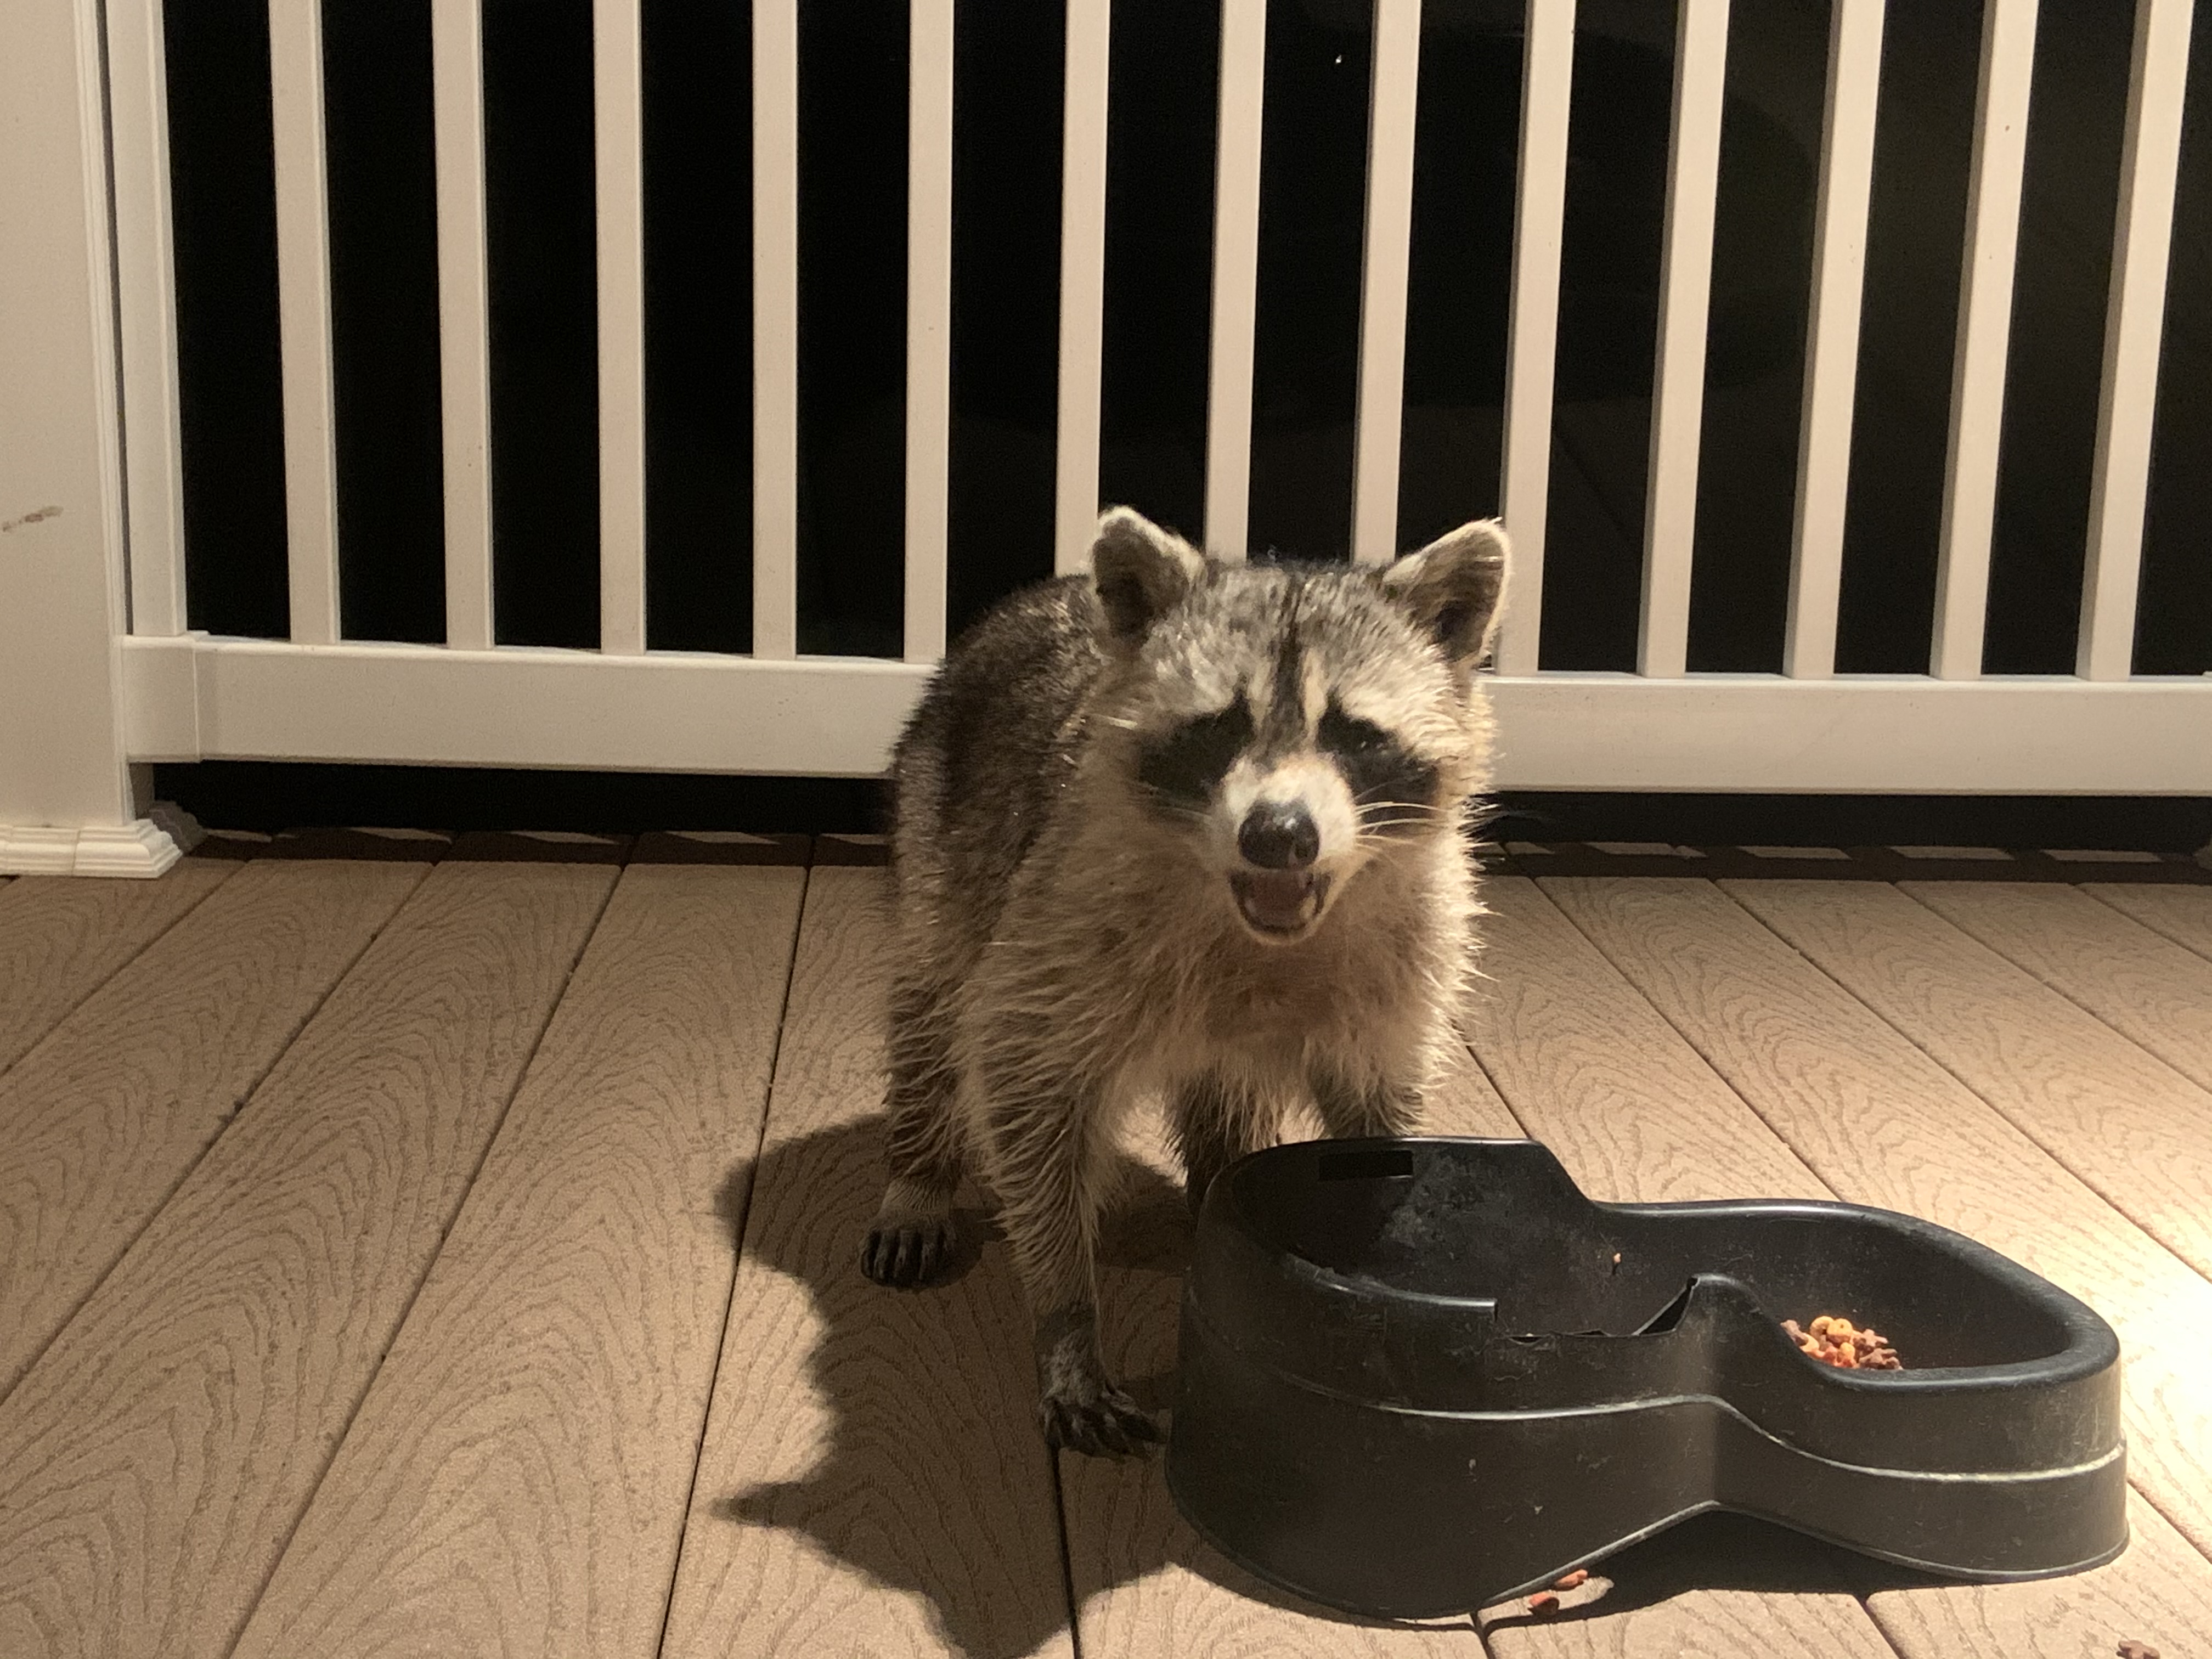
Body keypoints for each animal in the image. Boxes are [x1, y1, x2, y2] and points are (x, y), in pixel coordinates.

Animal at [862, 506, 1509, 1455]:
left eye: (1355, 735)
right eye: (1220, 728)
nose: (1278, 834)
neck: (1261, 923)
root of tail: (1041, 595)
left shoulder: (1409, 961)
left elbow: (1376, 1115)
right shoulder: (1057, 929)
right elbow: (1027, 1093)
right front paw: (1066, 1318)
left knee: (1226, 1093)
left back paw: (1215, 1192)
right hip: (938, 830)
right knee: (933, 1010)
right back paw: (919, 1171)